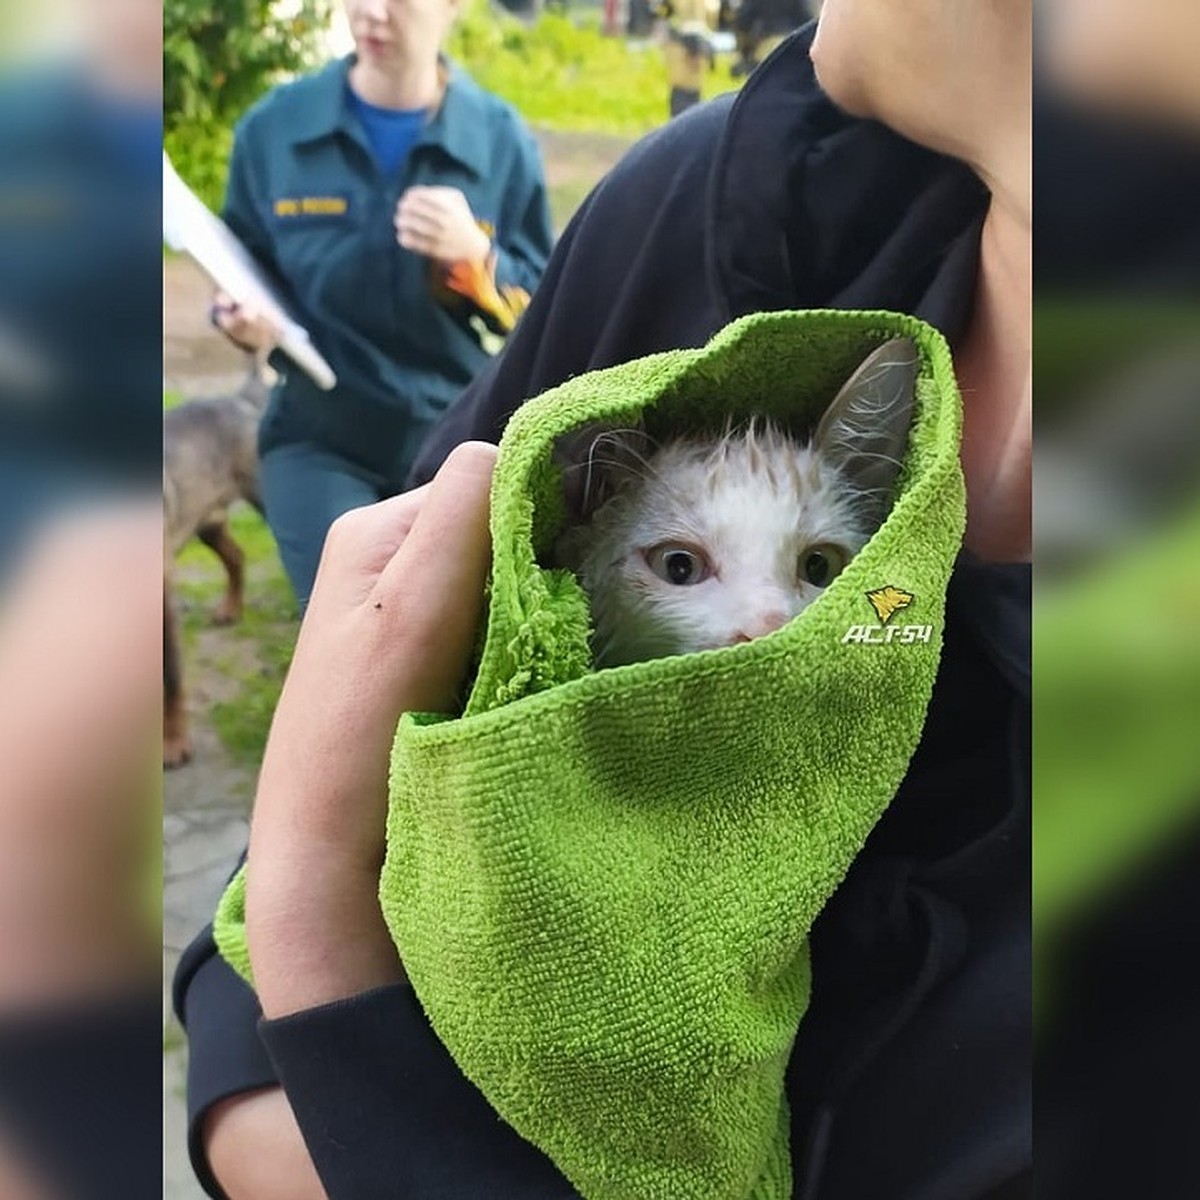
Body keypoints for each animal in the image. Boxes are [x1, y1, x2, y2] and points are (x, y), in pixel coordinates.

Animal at [162, 357, 267, 768]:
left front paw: (175, 743)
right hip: (210, 524)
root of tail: (237, 398)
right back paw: (230, 609)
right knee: (236, 556)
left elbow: (172, 676)